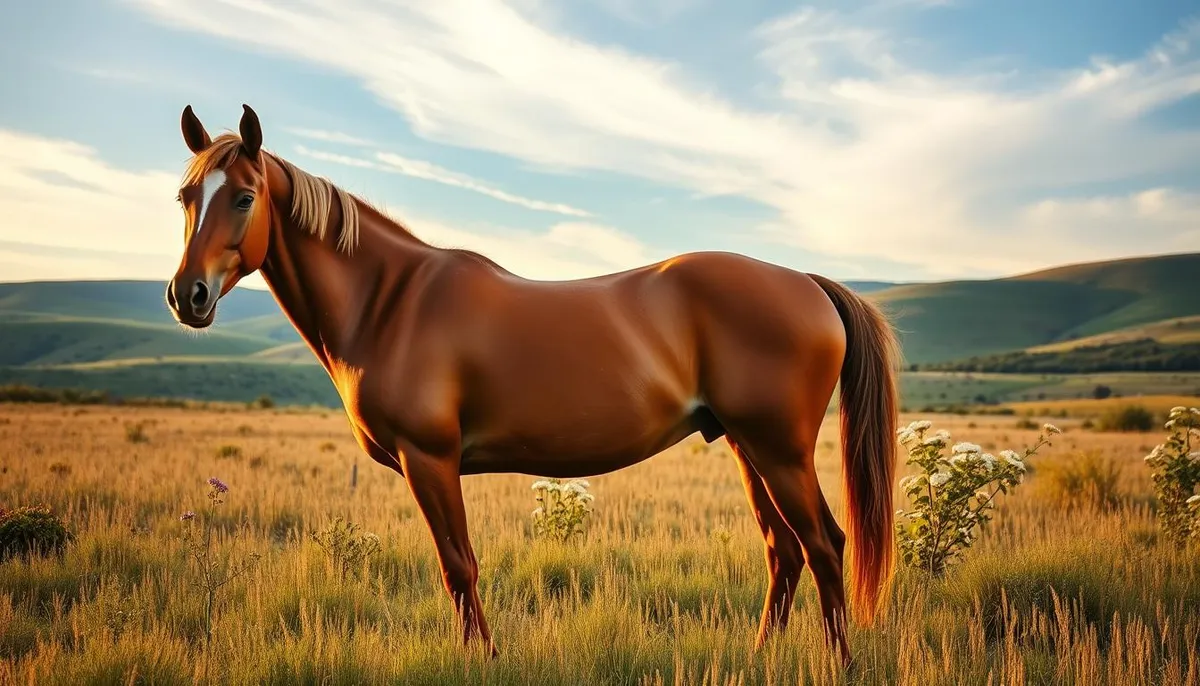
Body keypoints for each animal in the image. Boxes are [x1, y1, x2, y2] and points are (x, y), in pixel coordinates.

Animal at [165, 104, 901, 665]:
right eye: (185, 198)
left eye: (244, 197)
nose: (186, 296)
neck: (391, 300)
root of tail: (807, 283)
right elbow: (458, 568)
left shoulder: (429, 460)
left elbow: (459, 567)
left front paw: (480, 660)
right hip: (749, 448)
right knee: (785, 554)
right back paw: (759, 657)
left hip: (779, 452)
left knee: (825, 547)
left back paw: (838, 663)